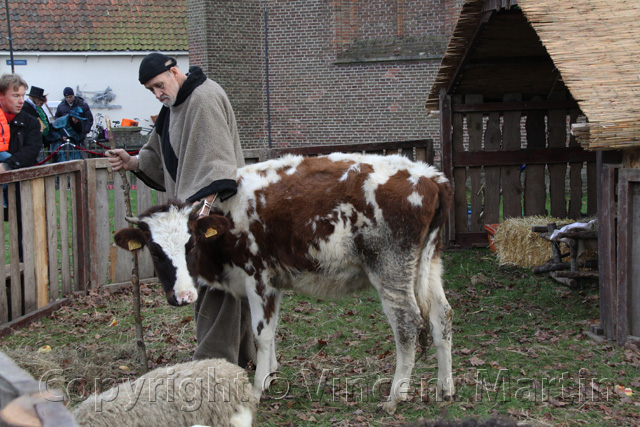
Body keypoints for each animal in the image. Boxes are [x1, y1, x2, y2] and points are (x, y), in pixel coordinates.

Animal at [115, 154, 456, 414]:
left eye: (191, 245)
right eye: (155, 251)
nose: (183, 296)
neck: (227, 218)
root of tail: (430, 176)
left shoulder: (258, 277)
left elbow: (262, 334)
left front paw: (257, 388)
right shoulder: (272, 282)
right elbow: (271, 330)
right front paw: (270, 373)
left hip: (390, 269)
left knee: (408, 324)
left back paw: (395, 396)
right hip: (430, 264)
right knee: (442, 316)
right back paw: (445, 388)